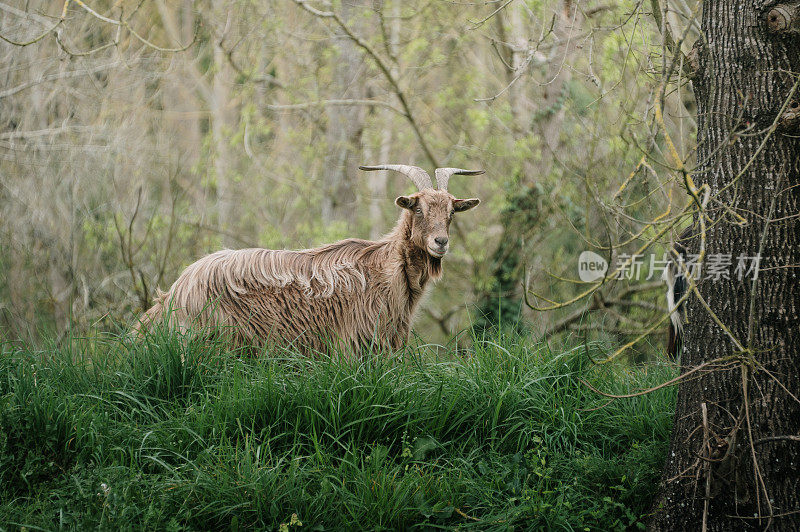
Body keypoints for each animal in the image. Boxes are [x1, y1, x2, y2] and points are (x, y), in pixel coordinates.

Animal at [136, 162, 482, 354]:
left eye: (451, 212)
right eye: (418, 208)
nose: (440, 242)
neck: (385, 269)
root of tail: (176, 290)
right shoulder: (356, 342)